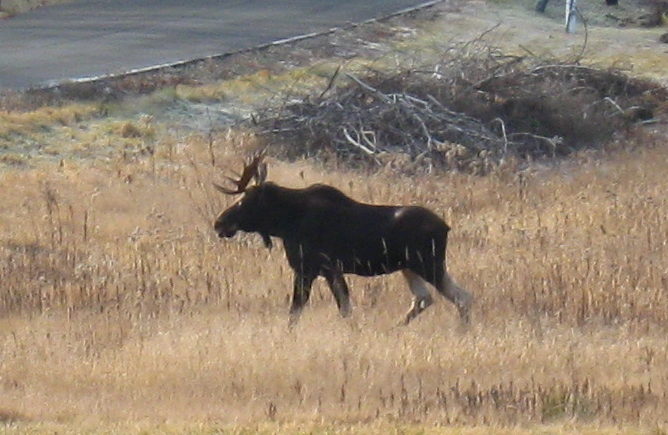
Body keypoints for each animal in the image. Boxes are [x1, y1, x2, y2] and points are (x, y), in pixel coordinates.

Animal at [211, 153, 472, 328]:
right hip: (409, 267)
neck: (286, 223)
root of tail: (446, 227)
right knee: (424, 299)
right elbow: (341, 307)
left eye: (245, 200)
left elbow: (299, 309)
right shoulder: (327, 270)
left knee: (462, 297)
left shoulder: (312, 268)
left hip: (428, 264)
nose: (219, 223)